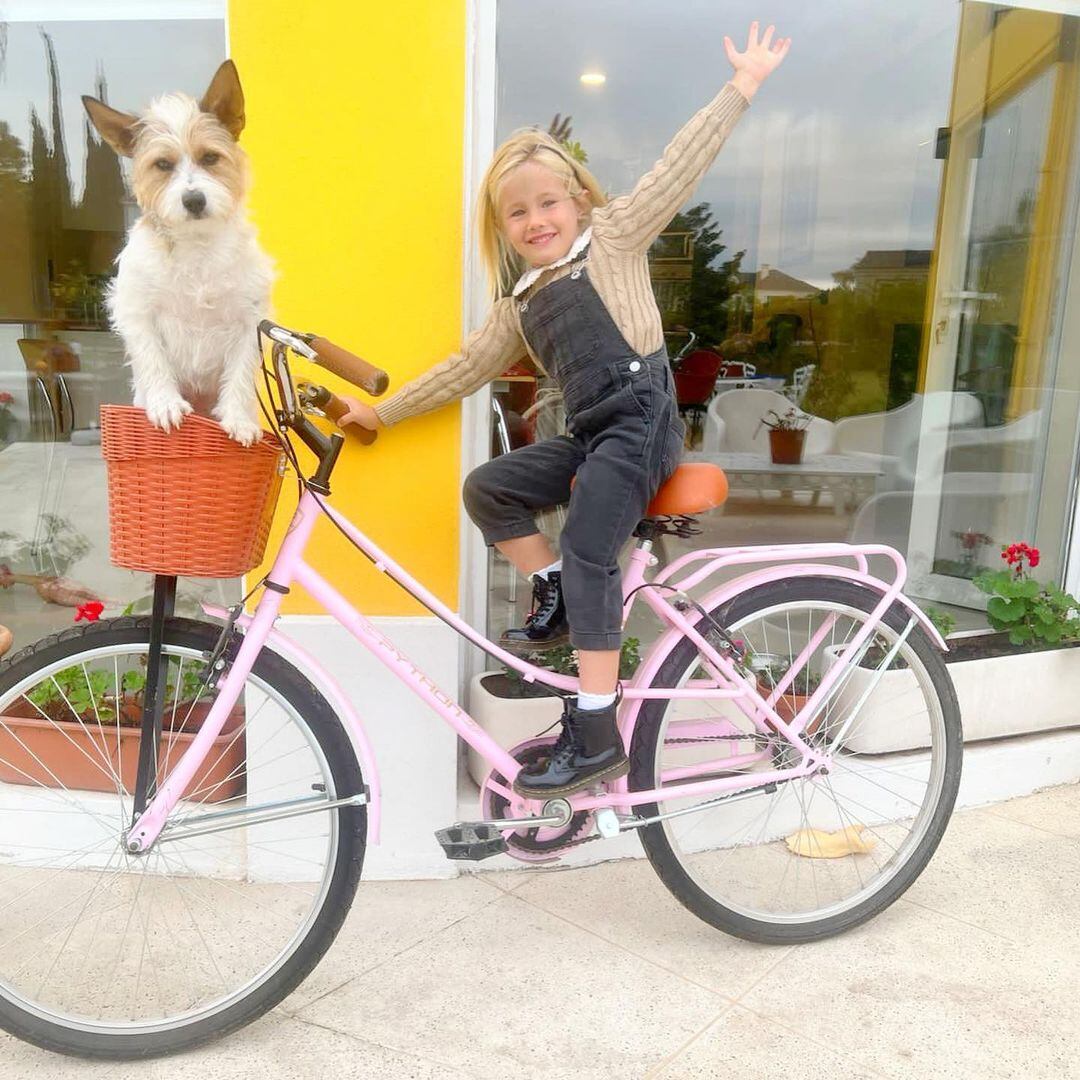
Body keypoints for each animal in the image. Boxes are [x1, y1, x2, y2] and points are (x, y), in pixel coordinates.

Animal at [82, 61, 272, 442]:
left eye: (210, 157)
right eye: (163, 165)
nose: (194, 200)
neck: (196, 244)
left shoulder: (249, 319)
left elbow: (241, 373)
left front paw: (238, 419)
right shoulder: (138, 311)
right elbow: (153, 358)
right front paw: (165, 404)